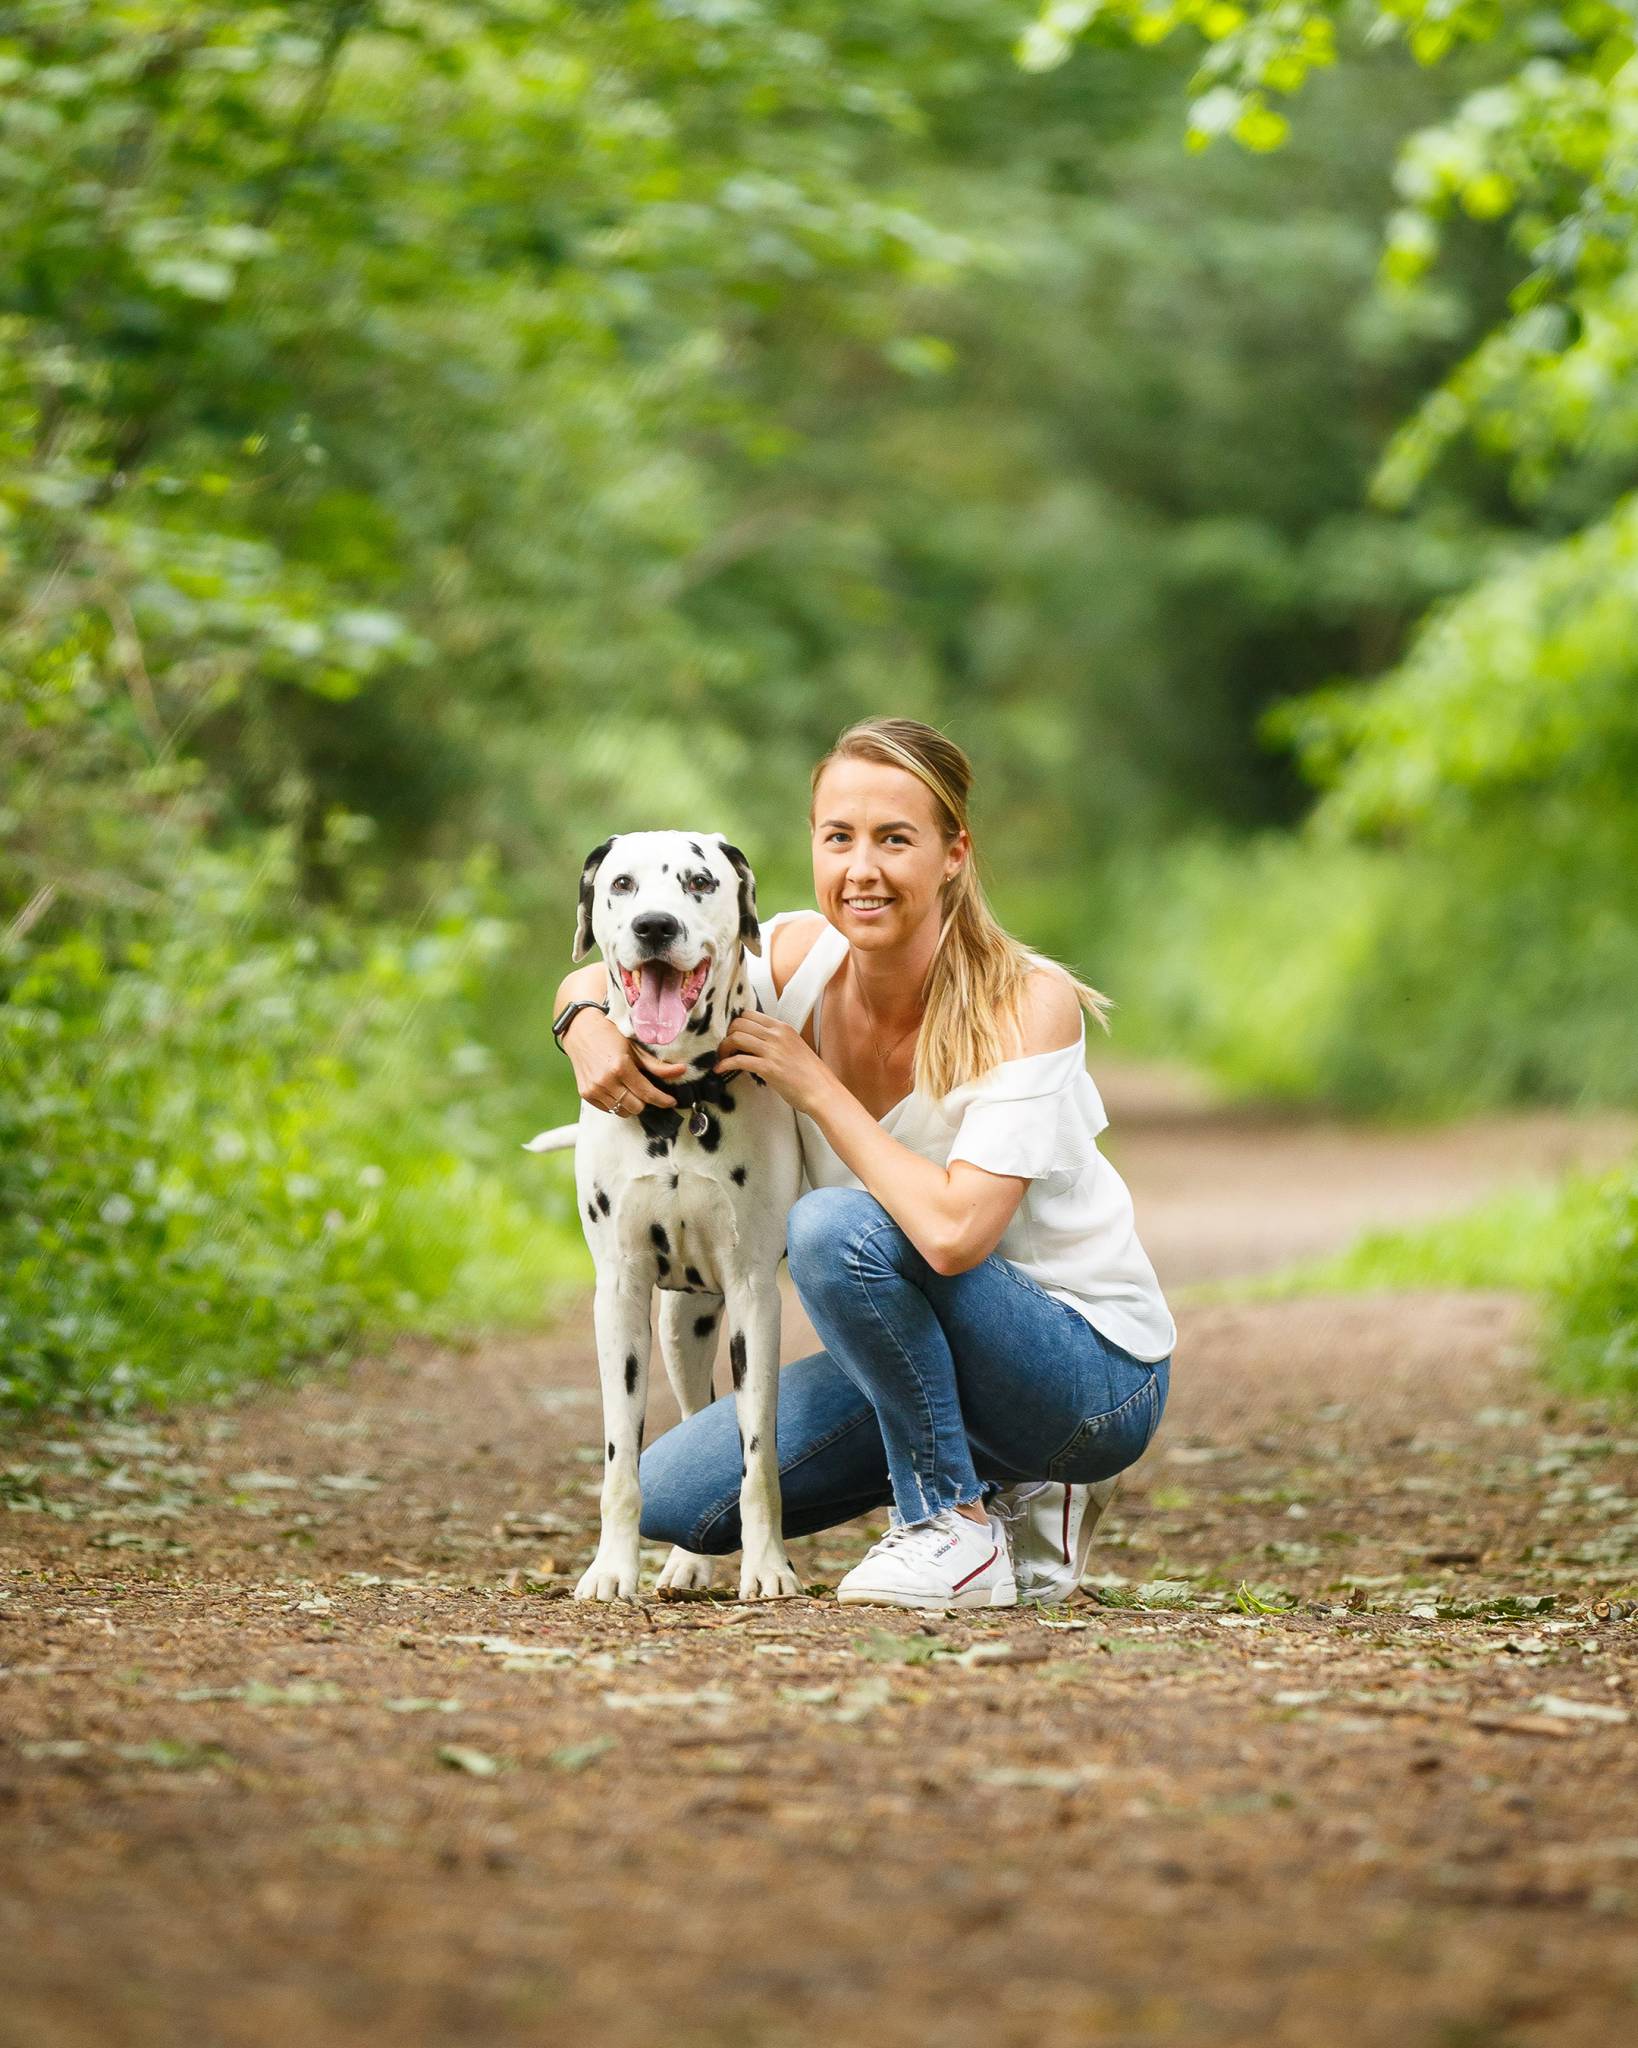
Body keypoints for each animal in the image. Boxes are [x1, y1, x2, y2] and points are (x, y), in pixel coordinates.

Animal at [524, 827, 806, 1597]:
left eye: (699, 882)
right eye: (621, 884)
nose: (655, 926)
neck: (682, 1104)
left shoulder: (755, 1298)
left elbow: (758, 1458)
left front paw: (768, 1566)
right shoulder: (619, 1295)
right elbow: (622, 1460)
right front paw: (611, 1570)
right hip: (683, 1330)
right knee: (690, 1414)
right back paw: (685, 1561)